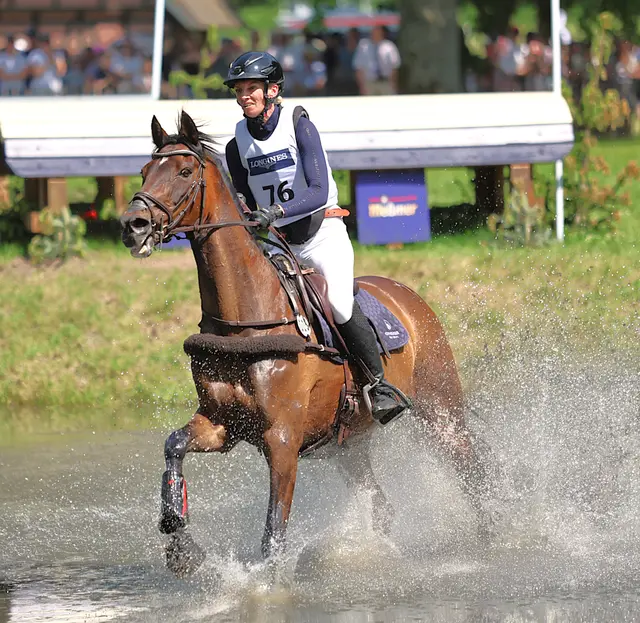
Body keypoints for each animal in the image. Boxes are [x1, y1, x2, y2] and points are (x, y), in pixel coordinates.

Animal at [120, 111, 493, 576]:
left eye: (185, 172)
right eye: (144, 171)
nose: (133, 226)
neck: (247, 319)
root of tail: (408, 294)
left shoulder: (282, 441)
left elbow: (273, 533)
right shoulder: (221, 423)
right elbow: (173, 446)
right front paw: (180, 545)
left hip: (440, 410)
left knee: (471, 470)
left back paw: (494, 539)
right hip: (347, 443)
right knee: (381, 505)